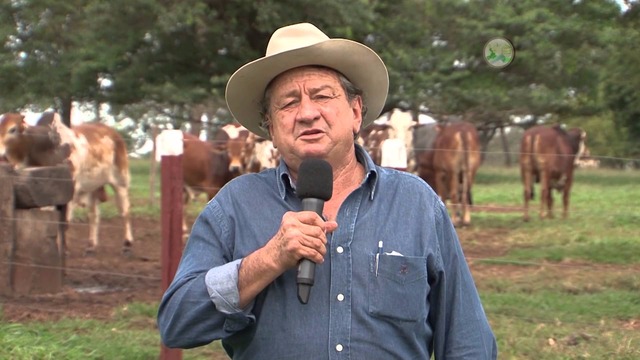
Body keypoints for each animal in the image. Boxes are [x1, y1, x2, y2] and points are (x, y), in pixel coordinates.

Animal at [36, 111, 134, 255]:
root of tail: (113, 132)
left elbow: (64, 221)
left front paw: (63, 249)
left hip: (121, 181)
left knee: (125, 212)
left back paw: (127, 244)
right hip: (93, 188)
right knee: (94, 215)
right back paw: (91, 245)